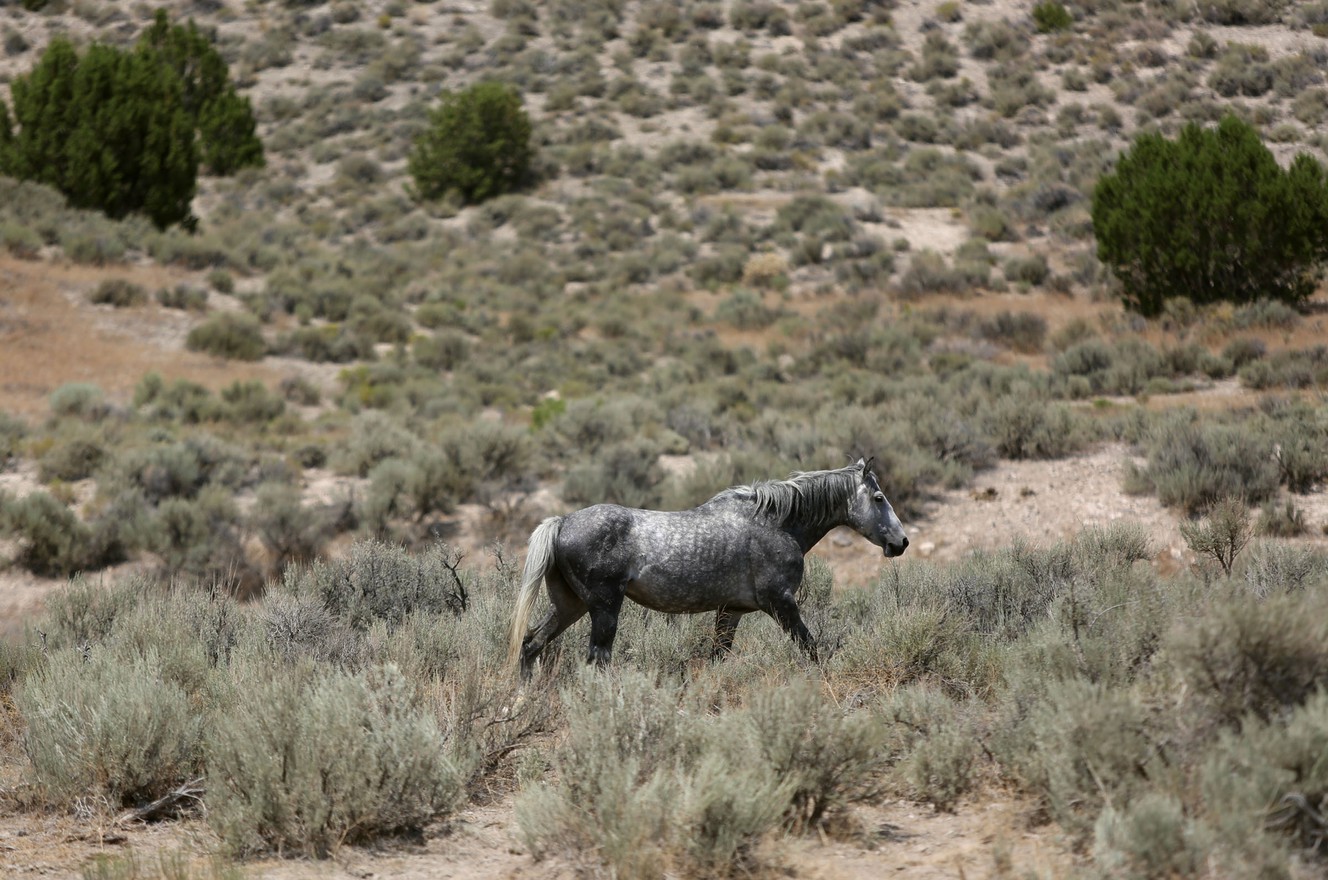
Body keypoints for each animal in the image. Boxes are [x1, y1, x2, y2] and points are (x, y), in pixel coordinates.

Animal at [508, 458, 908, 677]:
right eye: (878, 497)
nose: (901, 542)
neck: (776, 524)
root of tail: (562, 522)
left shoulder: (731, 611)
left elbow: (718, 657)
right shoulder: (782, 604)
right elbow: (810, 648)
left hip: (570, 605)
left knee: (531, 644)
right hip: (603, 609)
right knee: (596, 659)